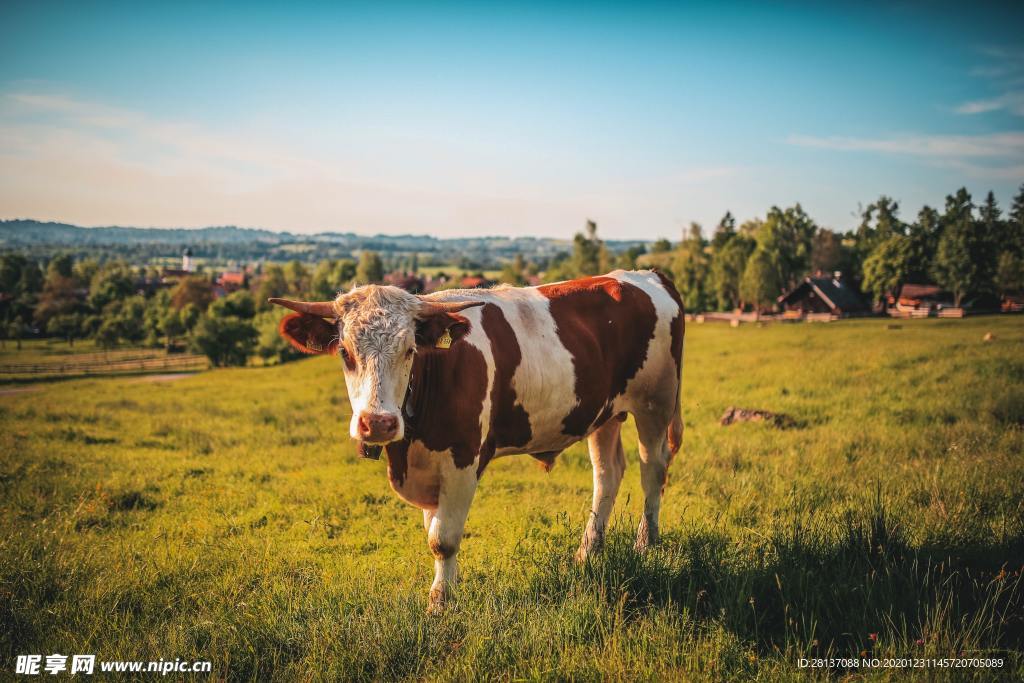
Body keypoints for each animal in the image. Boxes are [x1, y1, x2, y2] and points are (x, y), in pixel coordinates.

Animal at [272, 270, 688, 610]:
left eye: (410, 350)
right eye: (345, 352)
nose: (378, 423)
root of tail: (647, 275)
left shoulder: (462, 460)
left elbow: (443, 539)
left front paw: (441, 603)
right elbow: (434, 530)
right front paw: (445, 590)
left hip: (656, 402)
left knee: (653, 469)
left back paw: (646, 543)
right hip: (604, 413)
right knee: (607, 474)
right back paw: (587, 552)